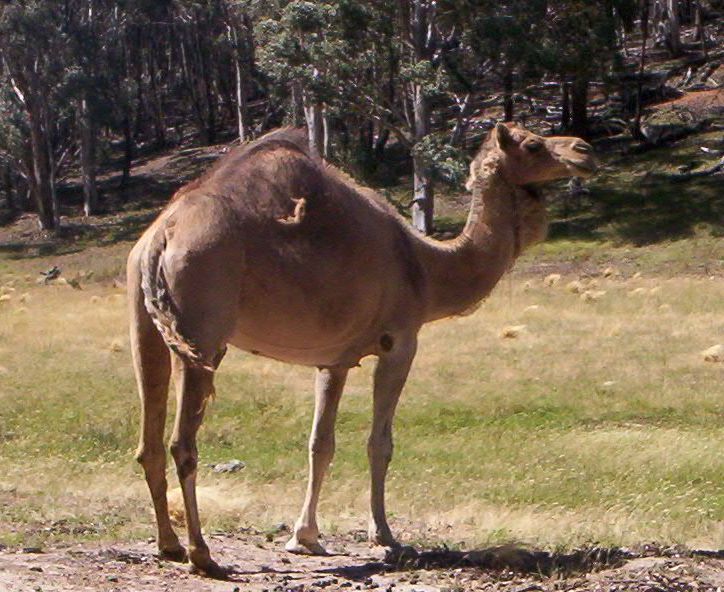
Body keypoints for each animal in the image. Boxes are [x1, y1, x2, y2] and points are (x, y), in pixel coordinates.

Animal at [127, 122, 597, 577]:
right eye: (533, 144)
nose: (584, 150)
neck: (427, 268)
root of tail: (161, 237)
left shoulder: (334, 359)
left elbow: (320, 444)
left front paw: (304, 537)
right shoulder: (400, 342)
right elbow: (380, 443)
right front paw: (385, 535)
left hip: (144, 324)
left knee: (149, 440)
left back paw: (169, 546)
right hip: (204, 328)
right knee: (182, 444)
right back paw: (202, 554)